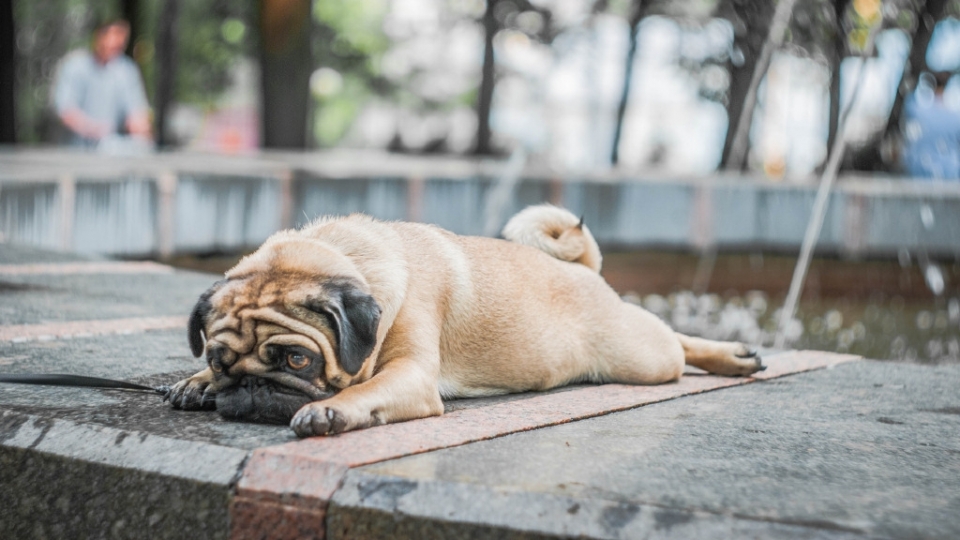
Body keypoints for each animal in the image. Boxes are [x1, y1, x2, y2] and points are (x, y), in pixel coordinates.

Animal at [167, 205, 764, 436]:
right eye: (221, 360)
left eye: (297, 359)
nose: (250, 388)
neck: (347, 255)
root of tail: (579, 269)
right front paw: (197, 383)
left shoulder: (410, 376)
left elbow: (364, 389)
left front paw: (330, 411)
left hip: (640, 356)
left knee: (675, 344)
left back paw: (732, 356)